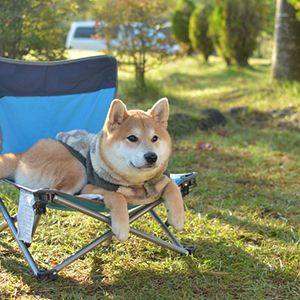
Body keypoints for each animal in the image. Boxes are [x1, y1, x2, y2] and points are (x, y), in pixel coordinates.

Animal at [0, 98, 184, 241]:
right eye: (132, 138)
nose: (152, 157)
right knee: (60, 191)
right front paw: (122, 227)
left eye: (155, 138)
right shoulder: (94, 185)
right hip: (77, 168)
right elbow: (117, 196)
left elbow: (173, 187)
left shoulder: (160, 179)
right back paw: (93, 197)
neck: (137, 183)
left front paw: (177, 216)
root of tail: (22, 155)